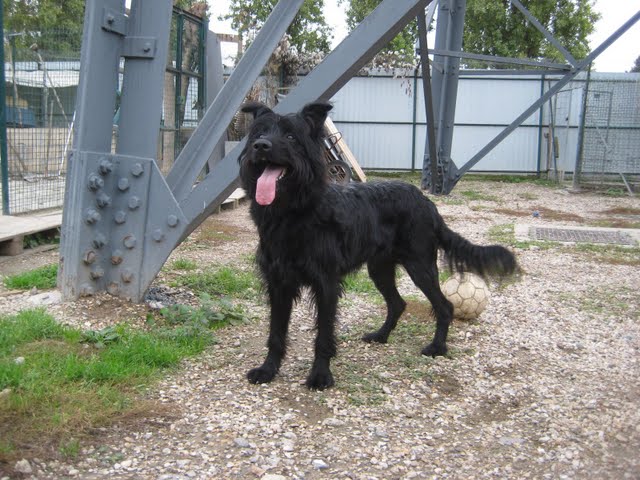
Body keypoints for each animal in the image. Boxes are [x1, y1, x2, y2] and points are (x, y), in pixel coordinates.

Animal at [238, 101, 516, 390]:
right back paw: (381, 336)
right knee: (398, 303)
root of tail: (427, 203)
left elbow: (324, 334)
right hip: (380, 268)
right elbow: (276, 332)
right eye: (260, 133)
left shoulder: (326, 284)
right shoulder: (278, 283)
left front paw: (320, 375)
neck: (293, 212)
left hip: (420, 266)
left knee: (444, 306)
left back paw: (437, 348)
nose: (260, 146)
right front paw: (267, 369)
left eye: (291, 136)